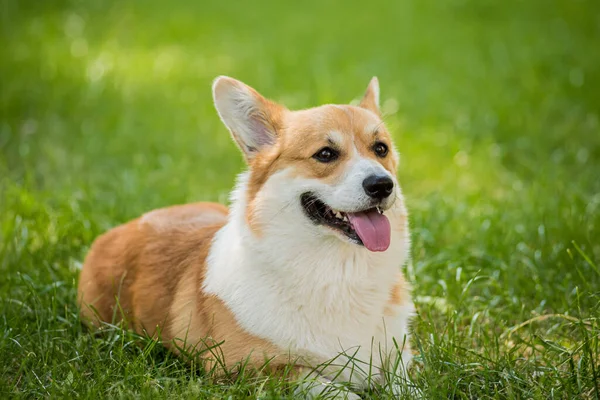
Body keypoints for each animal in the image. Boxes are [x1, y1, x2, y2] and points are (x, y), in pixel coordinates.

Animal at [78, 75, 418, 396]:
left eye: (381, 149)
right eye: (325, 154)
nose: (382, 184)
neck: (338, 273)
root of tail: (128, 225)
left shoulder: (398, 353)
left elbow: (407, 384)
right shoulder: (245, 368)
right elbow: (328, 386)